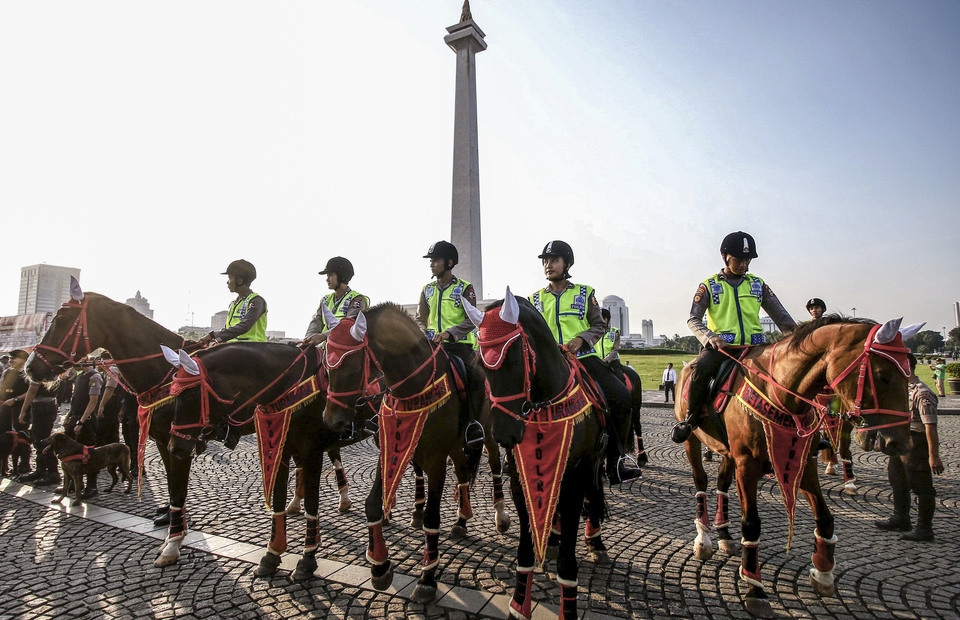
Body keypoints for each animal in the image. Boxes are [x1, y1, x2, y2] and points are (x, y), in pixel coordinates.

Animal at [322, 302, 506, 604]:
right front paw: (379, 565)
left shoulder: (435, 461)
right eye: (327, 364)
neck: (413, 387)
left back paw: (501, 517)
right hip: (455, 444)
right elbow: (372, 504)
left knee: (493, 466)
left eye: (351, 365)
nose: (331, 420)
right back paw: (461, 519)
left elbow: (432, 517)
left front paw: (427, 579)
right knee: (462, 472)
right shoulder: (388, 449)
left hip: (487, 435)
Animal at [464, 290, 608, 620]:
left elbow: (568, 553)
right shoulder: (520, 476)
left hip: (595, 461)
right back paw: (552, 535)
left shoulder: (576, 475)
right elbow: (525, 549)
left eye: (515, 359)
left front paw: (568, 607)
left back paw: (594, 540)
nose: (503, 434)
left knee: (595, 493)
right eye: (482, 365)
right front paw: (519, 604)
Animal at [676, 318, 916, 616]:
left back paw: (724, 533)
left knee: (721, 484)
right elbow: (751, 524)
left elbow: (825, 518)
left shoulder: (804, 461)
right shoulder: (747, 465)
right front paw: (755, 588)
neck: (781, 395)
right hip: (692, 439)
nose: (901, 443)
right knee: (701, 482)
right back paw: (704, 538)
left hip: (727, 451)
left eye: (910, 374)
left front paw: (823, 572)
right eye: (882, 375)